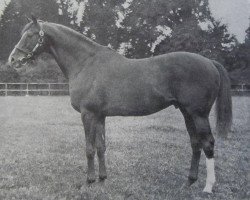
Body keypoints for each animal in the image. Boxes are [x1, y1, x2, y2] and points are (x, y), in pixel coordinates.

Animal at [9, 16, 232, 193]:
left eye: (30, 35)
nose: (13, 60)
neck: (85, 63)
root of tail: (210, 62)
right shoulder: (99, 116)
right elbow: (101, 147)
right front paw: (102, 179)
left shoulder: (88, 114)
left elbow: (89, 148)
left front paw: (89, 181)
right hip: (187, 113)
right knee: (195, 143)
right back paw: (188, 182)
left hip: (198, 114)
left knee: (208, 144)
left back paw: (208, 187)